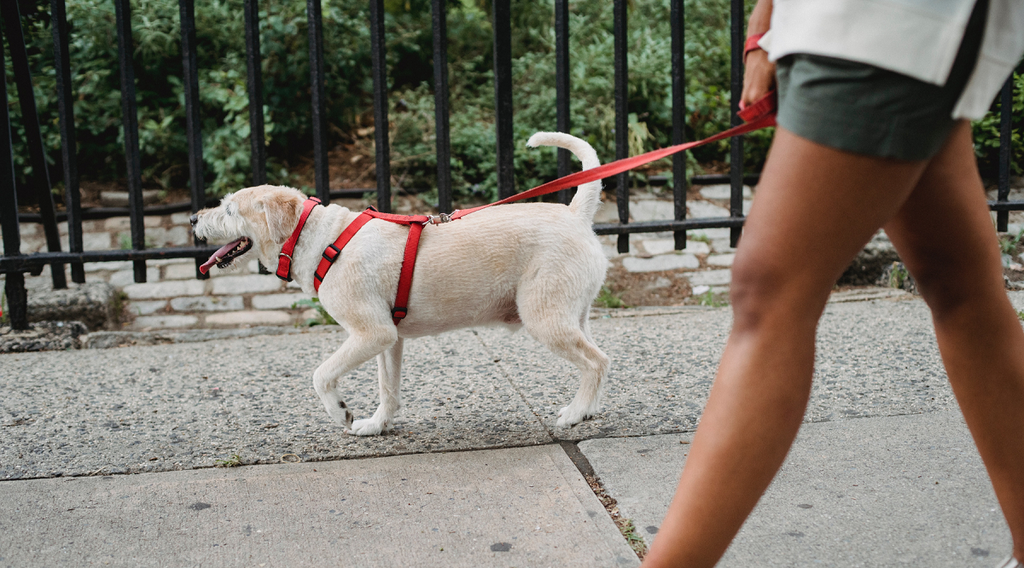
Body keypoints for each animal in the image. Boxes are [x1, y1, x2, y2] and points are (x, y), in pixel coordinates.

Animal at [192, 133, 606, 435]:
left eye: (230, 210)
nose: (194, 219)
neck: (321, 237)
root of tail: (576, 214)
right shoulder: (388, 341)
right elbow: (388, 388)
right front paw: (376, 425)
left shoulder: (371, 333)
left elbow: (321, 375)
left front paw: (340, 413)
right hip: (573, 315)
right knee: (597, 360)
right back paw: (587, 410)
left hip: (546, 318)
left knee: (597, 362)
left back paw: (575, 413)